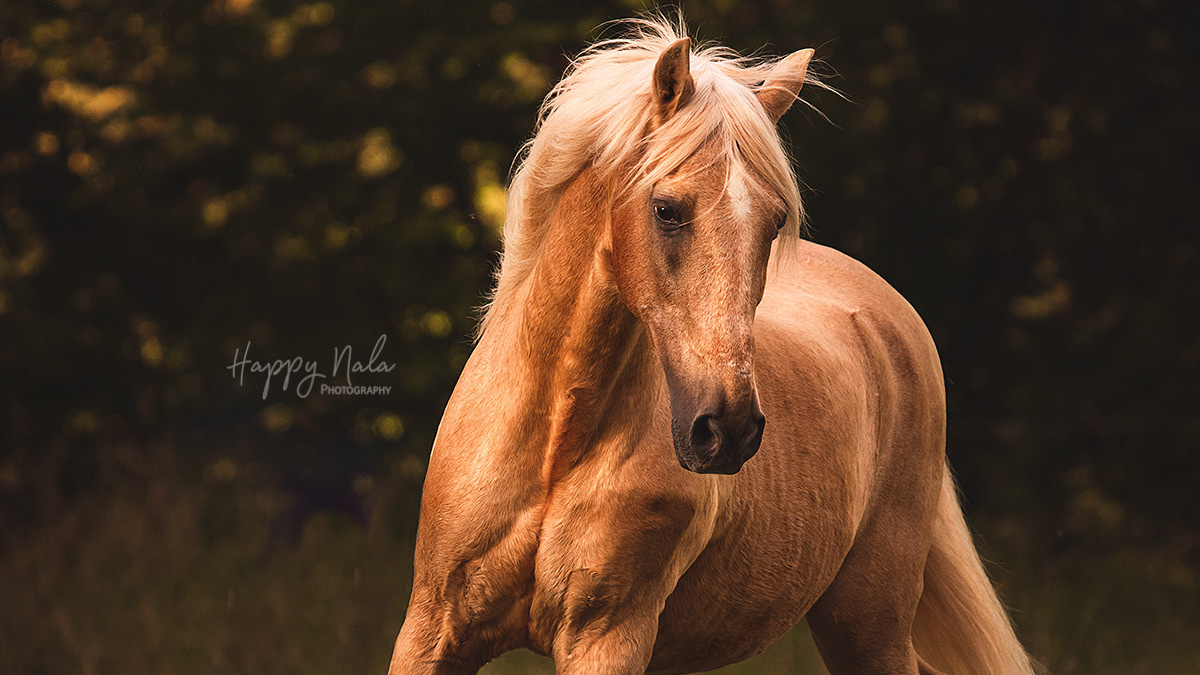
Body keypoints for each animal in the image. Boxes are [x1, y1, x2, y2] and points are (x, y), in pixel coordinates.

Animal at [388, 18, 1036, 675]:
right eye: (666, 209)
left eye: (775, 223)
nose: (728, 430)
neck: (555, 444)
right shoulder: (433, 628)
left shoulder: (608, 638)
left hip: (869, 625)